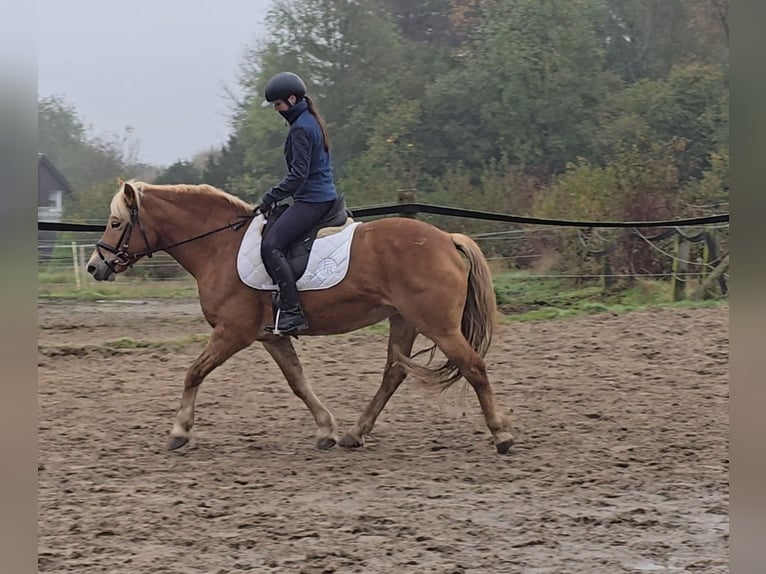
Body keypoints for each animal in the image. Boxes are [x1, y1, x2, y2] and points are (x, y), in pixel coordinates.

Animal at [85, 180, 516, 454]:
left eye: (117, 223)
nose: (94, 266)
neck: (219, 246)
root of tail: (447, 239)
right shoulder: (271, 335)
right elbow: (298, 382)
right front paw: (326, 430)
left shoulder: (233, 332)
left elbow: (193, 372)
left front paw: (179, 431)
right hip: (404, 320)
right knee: (393, 374)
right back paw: (355, 433)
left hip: (437, 325)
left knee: (474, 367)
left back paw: (502, 436)